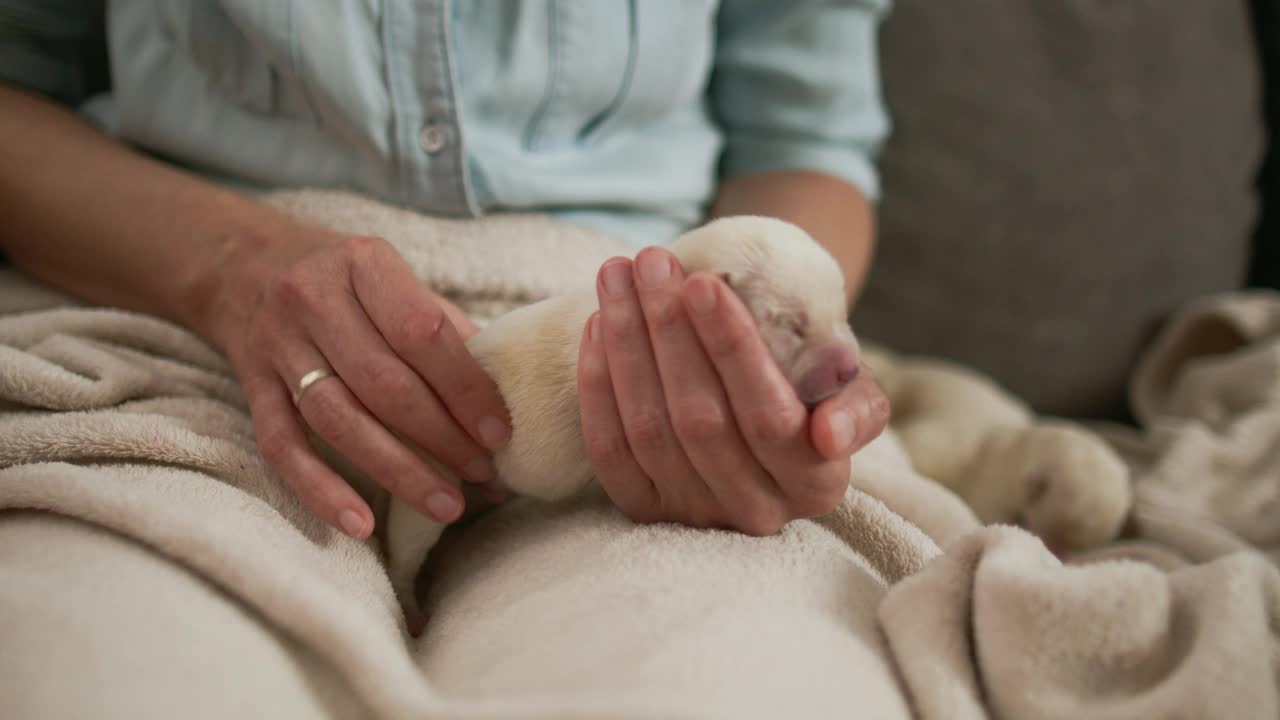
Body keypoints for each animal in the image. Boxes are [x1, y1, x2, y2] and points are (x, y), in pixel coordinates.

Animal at [384, 215, 855, 630]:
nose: (851, 370)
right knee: (404, 551)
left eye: (843, 313)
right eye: (792, 324)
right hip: (432, 474)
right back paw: (412, 610)